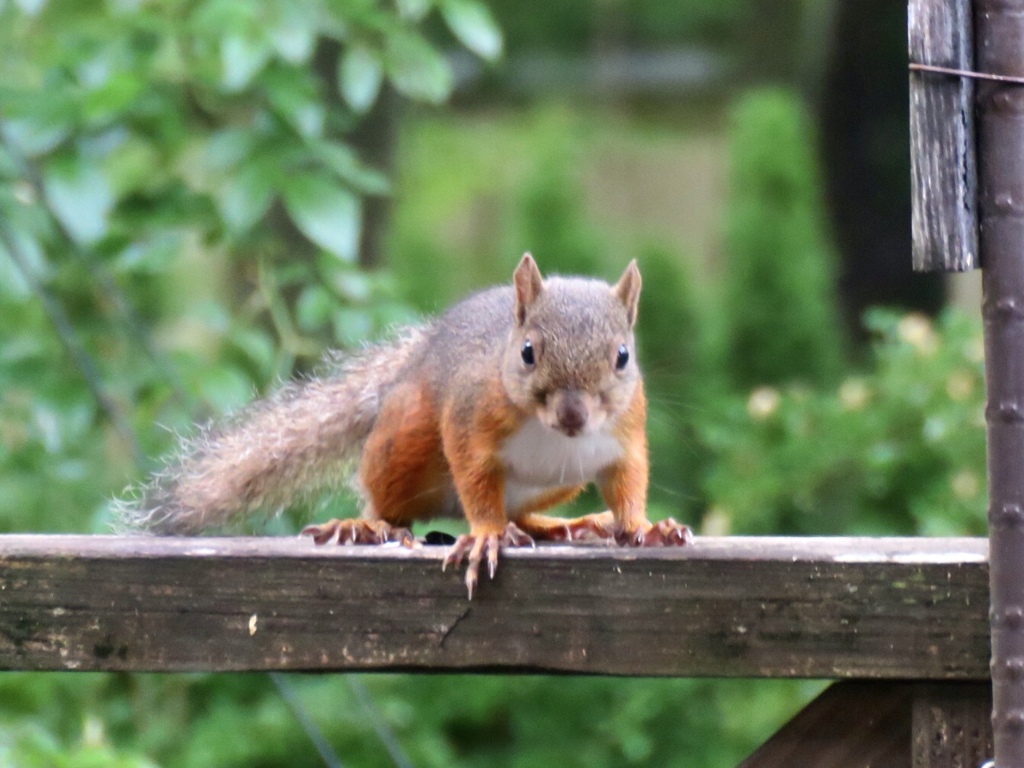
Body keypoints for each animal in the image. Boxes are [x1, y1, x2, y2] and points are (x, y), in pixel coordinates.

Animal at [121, 256, 696, 598]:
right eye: (529, 352)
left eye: (623, 356)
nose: (574, 416)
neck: (547, 431)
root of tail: (416, 358)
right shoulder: (468, 421)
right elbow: (475, 480)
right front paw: (486, 536)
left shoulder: (623, 439)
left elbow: (628, 486)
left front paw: (647, 527)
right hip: (405, 439)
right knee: (388, 500)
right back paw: (366, 526)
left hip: (558, 481)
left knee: (524, 513)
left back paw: (560, 525)